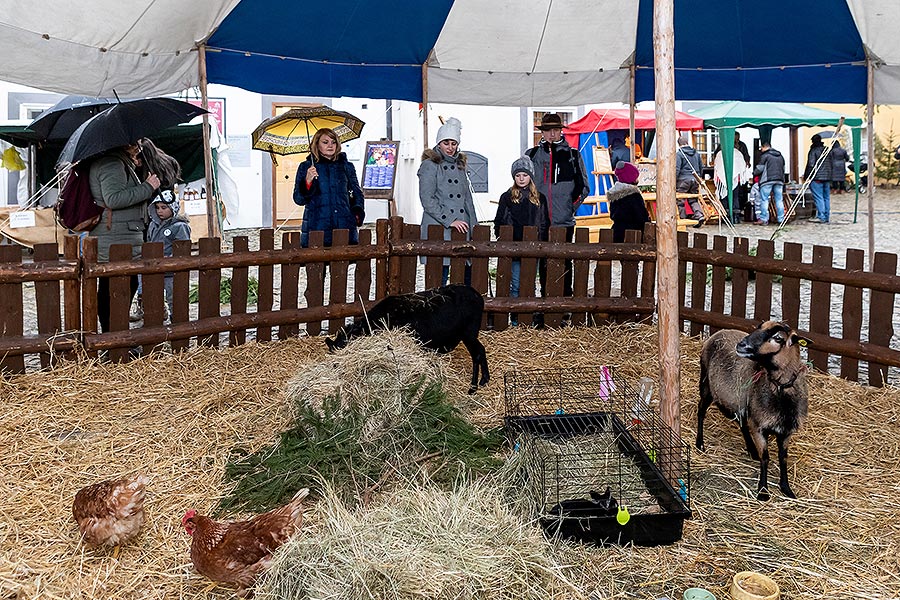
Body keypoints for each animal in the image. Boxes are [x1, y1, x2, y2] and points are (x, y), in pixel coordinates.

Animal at [326, 284, 488, 394]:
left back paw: (475, 386)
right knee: (480, 351)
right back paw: (483, 380)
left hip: (469, 333)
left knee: (477, 353)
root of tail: (478, 296)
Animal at [696, 322, 808, 500]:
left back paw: (751, 449)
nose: (741, 344)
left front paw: (786, 489)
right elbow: (765, 458)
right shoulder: (759, 427)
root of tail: (721, 331)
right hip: (706, 384)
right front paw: (763, 491)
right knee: (701, 411)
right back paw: (700, 444)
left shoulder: (786, 431)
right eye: (759, 327)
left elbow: (783, 458)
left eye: (778, 338)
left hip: (741, 401)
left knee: (741, 423)